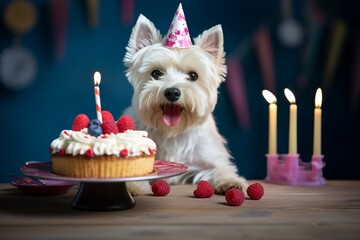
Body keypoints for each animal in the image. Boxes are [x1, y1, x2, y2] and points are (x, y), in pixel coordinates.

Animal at [124, 13, 248, 195]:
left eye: (193, 75)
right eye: (156, 73)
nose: (172, 92)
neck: (172, 132)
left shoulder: (209, 159)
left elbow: (220, 168)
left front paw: (230, 182)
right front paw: (133, 185)